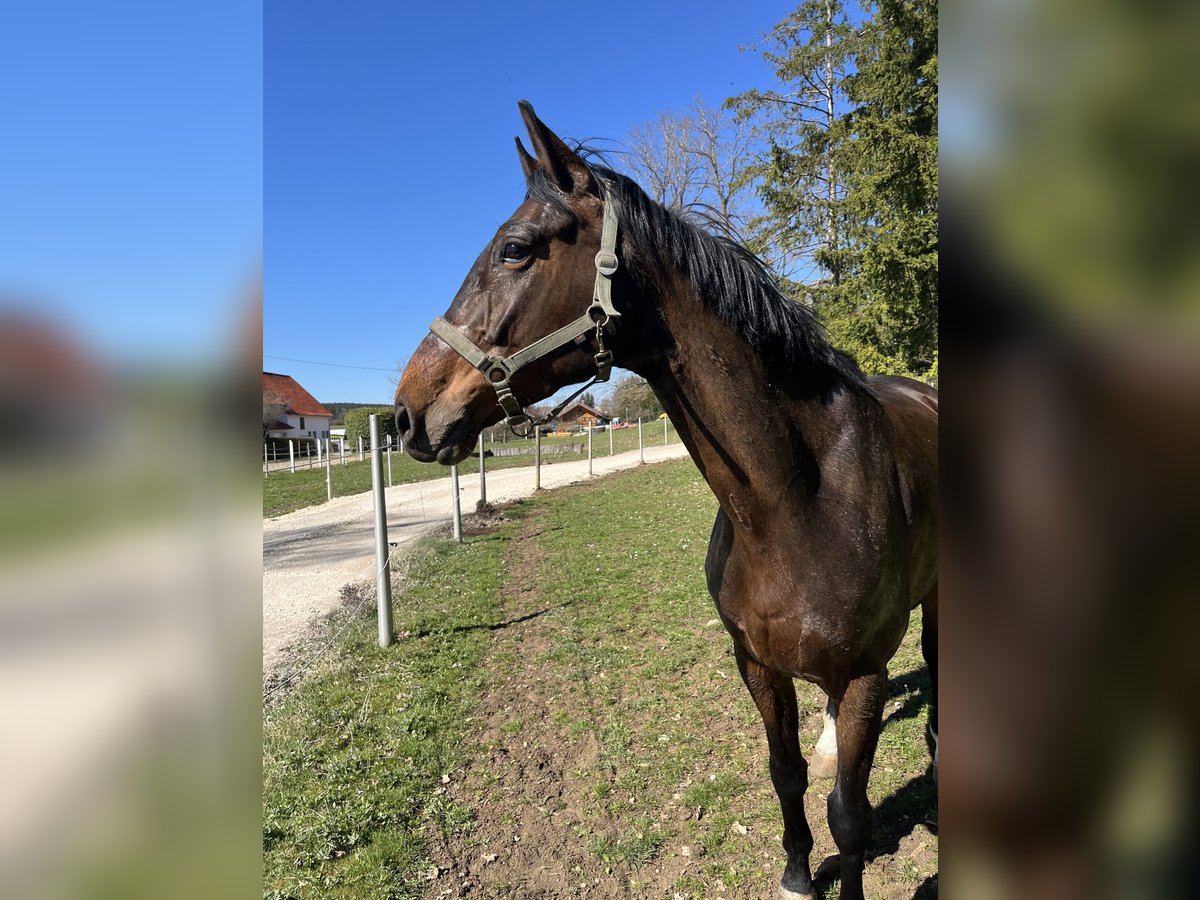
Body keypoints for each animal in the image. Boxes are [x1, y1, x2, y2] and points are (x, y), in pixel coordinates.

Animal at [394, 102, 938, 900]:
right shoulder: (756, 662)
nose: (406, 414)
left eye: (515, 250)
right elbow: (786, 773)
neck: (794, 502)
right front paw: (796, 874)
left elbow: (851, 818)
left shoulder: (866, 672)